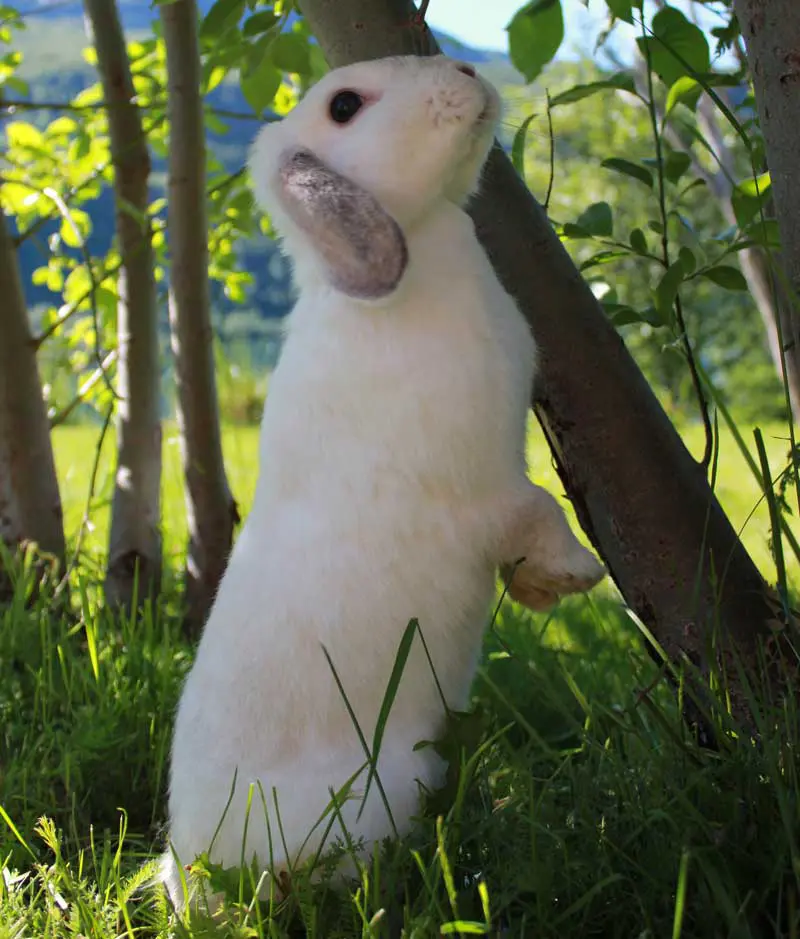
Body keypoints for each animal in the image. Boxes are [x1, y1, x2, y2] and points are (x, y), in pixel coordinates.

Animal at [161, 54, 605, 912]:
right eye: (344, 106)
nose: (465, 67)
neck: (425, 236)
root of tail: (197, 867)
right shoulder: (486, 489)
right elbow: (537, 510)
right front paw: (573, 575)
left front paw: (540, 588)